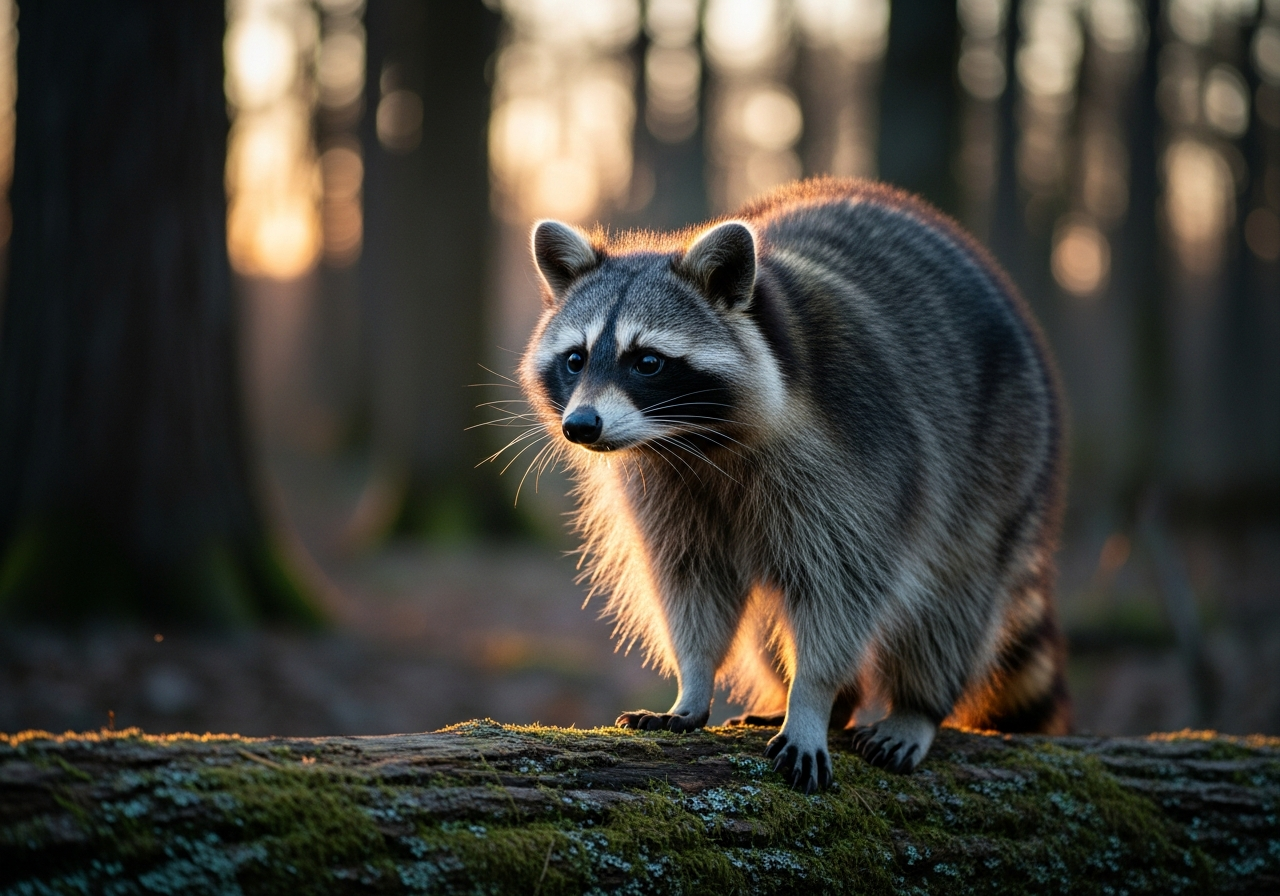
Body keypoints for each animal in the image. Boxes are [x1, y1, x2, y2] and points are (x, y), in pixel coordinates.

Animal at [518, 178, 1070, 792]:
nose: (580, 425)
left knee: (951, 594)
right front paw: (695, 681)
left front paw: (812, 699)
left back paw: (915, 706)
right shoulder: (666, 482)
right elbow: (692, 579)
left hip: (1004, 453)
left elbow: (843, 587)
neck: (700, 441)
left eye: (648, 362)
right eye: (575, 359)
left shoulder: (860, 455)